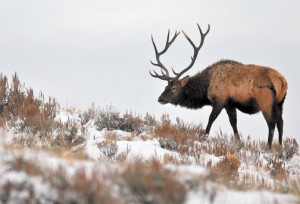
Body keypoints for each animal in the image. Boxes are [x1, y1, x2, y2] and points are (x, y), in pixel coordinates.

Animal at [150, 23, 288, 149]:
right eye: (165, 87)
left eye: (174, 88)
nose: (160, 99)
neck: (206, 88)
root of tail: (281, 80)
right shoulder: (230, 104)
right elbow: (233, 123)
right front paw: (238, 142)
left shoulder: (220, 99)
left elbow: (211, 118)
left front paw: (204, 136)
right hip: (279, 103)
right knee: (281, 122)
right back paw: (280, 147)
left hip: (266, 102)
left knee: (271, 123)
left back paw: (268, 147)